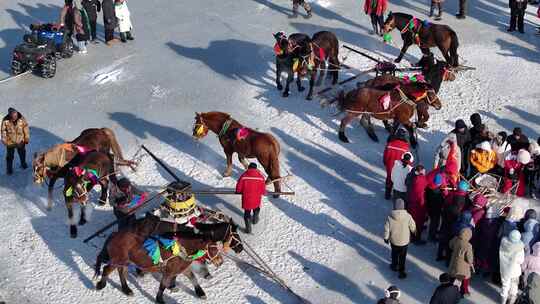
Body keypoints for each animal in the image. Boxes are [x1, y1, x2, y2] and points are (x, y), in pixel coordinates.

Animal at [95, 215, 243, 302]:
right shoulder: (169, 270)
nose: (220, 261)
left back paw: (127, 289)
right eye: (234, 234)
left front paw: (200, 292)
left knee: (121, 272)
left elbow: (193, 278)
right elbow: (163, 285)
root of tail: (115, 234)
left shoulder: (183, 267)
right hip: (118, 260)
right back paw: (101, 285)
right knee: (107, 269)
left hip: (124, 261)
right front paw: (161, 297)